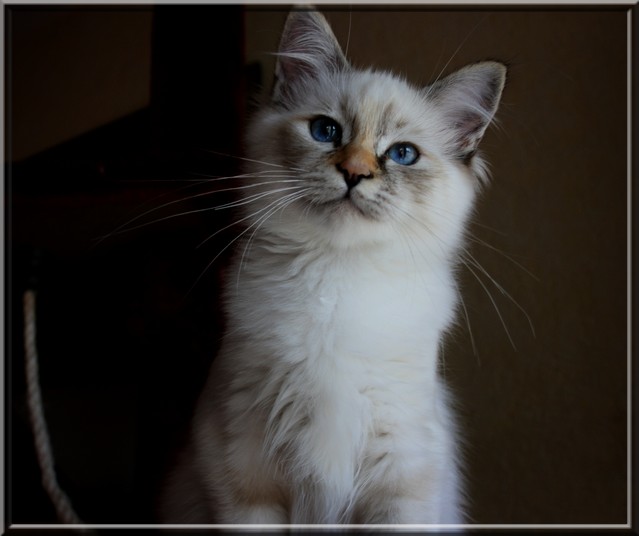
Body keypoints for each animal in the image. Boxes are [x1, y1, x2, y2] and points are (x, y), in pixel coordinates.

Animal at [162, 8, 508, 524]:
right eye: (326, 131)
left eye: (402, 154)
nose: (354, 173)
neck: (338, 281)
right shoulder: (250, 487)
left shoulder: (399, 487)